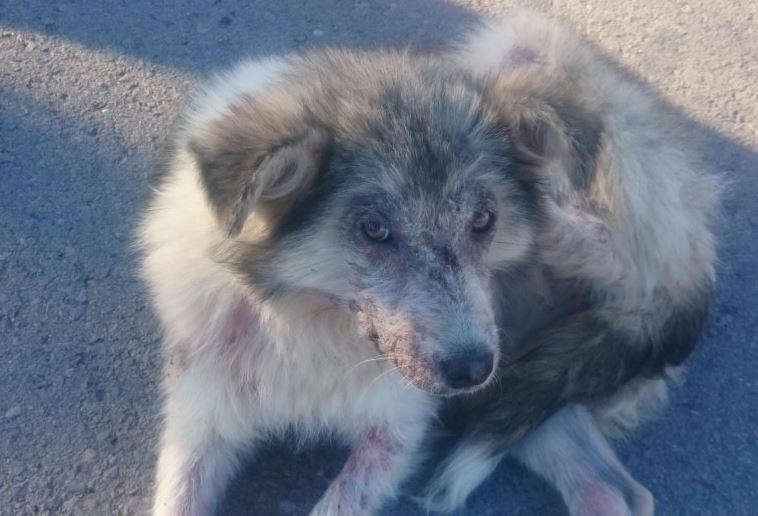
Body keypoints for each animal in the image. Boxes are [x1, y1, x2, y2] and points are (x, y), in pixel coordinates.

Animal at [141, 9, 720, 516]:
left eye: (483, 219)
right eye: (375, 229)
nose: (471, 369)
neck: (309, 324)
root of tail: (694, 275)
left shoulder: (398, 431)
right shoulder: (203, 420)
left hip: (522, 45)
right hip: (531, 387)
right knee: (616, 490)